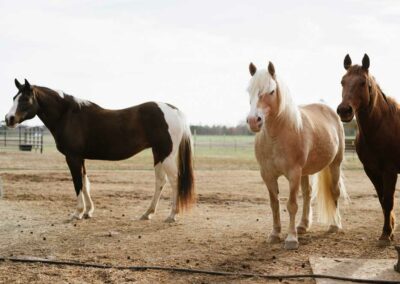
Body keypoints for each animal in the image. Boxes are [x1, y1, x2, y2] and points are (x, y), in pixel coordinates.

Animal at [4, 79, 195, 223]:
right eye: (14, 97)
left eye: (25, 99)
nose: (9, 119)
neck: (68, 115)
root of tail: (174, 110)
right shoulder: (80, 158)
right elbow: (85, 182)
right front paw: (88, 211)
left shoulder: (72, 157)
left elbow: (78, 184)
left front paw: (78, 212)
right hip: (158, 154)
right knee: (160, 181)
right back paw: (147, 213)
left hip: (166, 155)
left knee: (174, 180)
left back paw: (172, 215)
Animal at [247, 61, 346, 248]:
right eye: (249, 90)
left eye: (271, 91)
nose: (253, 121)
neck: (277, 136)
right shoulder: (267, 175)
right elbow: (274, 204)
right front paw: (274, 234)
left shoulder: (293, 173)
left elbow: (292, 204)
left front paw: (291, 239)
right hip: (305, 172)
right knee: (307, 194)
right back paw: (303, 225)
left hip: (334, 164)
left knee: (334, 192)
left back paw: (334, 225)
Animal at [338, 54, 400, 245]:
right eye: (342, 81)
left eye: (363, 83)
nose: (344, 110)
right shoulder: (371, 171)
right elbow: (381, 200)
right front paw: (390, 230)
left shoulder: (390, 170)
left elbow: (388, 201)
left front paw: (386, 234)